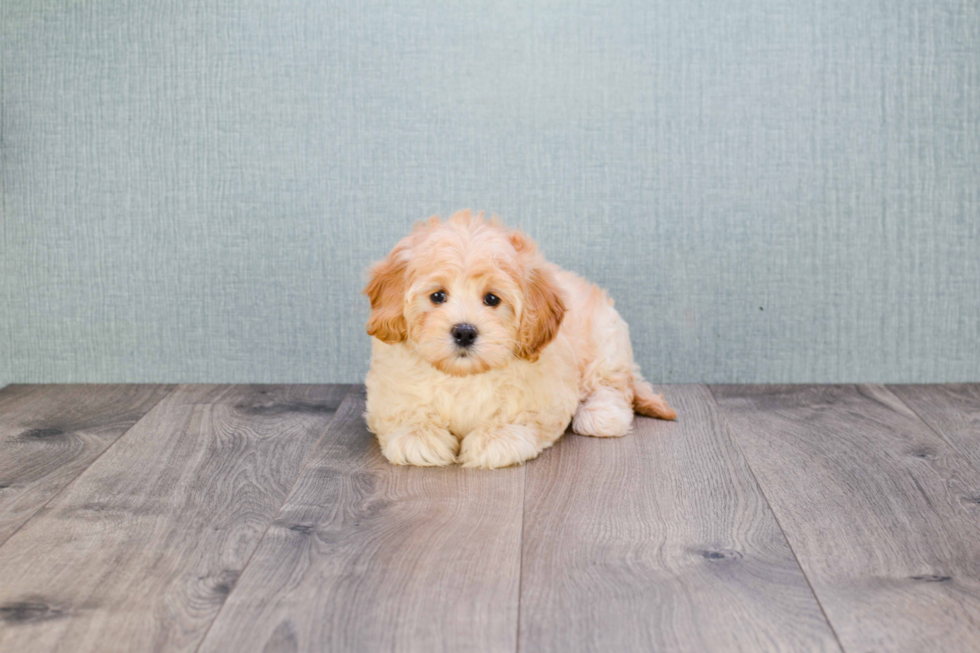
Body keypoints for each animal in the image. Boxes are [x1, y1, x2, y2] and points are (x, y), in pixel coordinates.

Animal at [364, 210, 676, 468]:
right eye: (437, 296)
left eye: (492, 299)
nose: (464, 331)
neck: (464, 377)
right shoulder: (389, 390)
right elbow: (403, 412)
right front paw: (417, 436)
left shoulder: (547, 396)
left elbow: (522, 416)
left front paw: (495, 438)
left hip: (606, 340)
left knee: (613, 385)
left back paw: (601, 414)